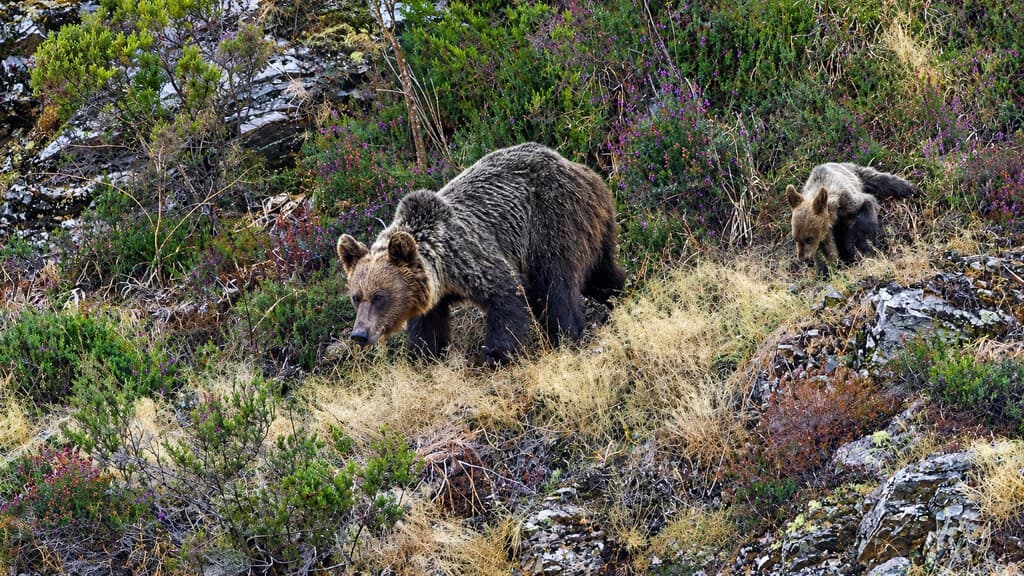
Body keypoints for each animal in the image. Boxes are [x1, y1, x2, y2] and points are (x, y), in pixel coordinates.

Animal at [336, 142, 626, 365]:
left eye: (379, 296)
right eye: (356, 297)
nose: (359, 334)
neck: (442, 270)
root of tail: (580, 168)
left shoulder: (469, 255)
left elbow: (506, 293)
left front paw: (496, 353)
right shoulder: (431, 292)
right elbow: (428, 326)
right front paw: (423, 355)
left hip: (551, 221)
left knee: (557, 283)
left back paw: (566, 333)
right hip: (594, 225)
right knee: (600, 271)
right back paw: (618, 292)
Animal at [786, 162, 919, 265]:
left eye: (809, 238)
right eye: (796, 238)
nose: (803, 259)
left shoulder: (849, 201)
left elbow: (864, 217)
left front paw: (858, 247)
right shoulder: (826, 230)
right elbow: (828, 248)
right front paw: (831, 265)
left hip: (857, 175)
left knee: (881, 179)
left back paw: (913, 189)